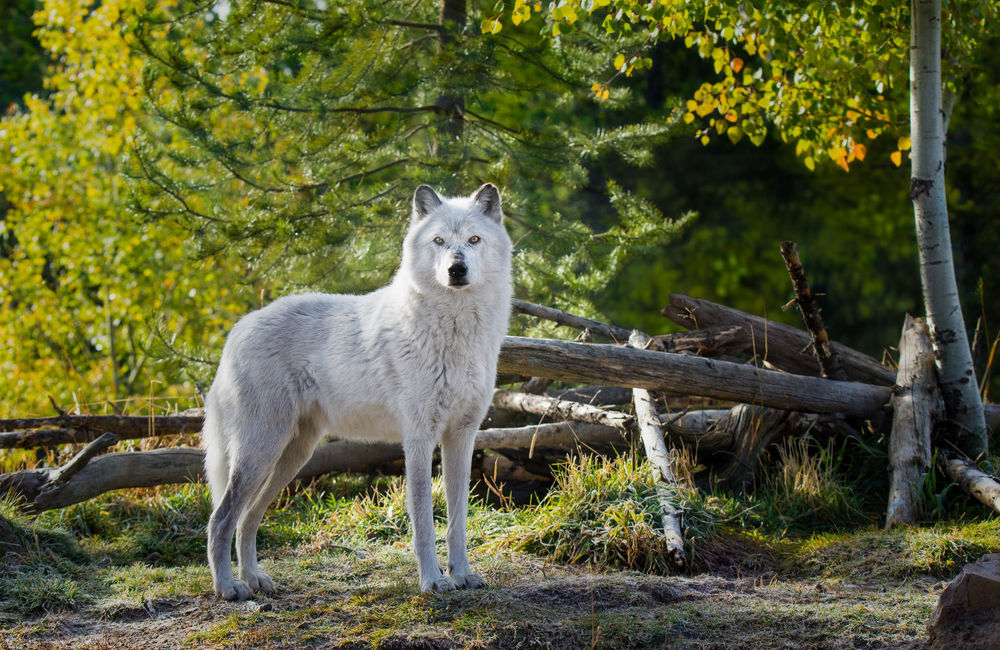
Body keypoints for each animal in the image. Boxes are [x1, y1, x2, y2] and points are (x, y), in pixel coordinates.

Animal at [204, 181, 516, 596]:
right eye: (438, 240)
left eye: (473, 239)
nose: (456, 269)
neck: (455, 332)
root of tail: (237, 329)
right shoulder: (418, 439)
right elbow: (424, 523)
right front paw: (433, 580)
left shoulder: (461, 438)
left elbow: (457, 522)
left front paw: (462, 574)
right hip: (261, 450)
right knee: (220, 519)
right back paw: (228, 588)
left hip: (290, 456)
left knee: (246, 519)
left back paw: (255, 579)